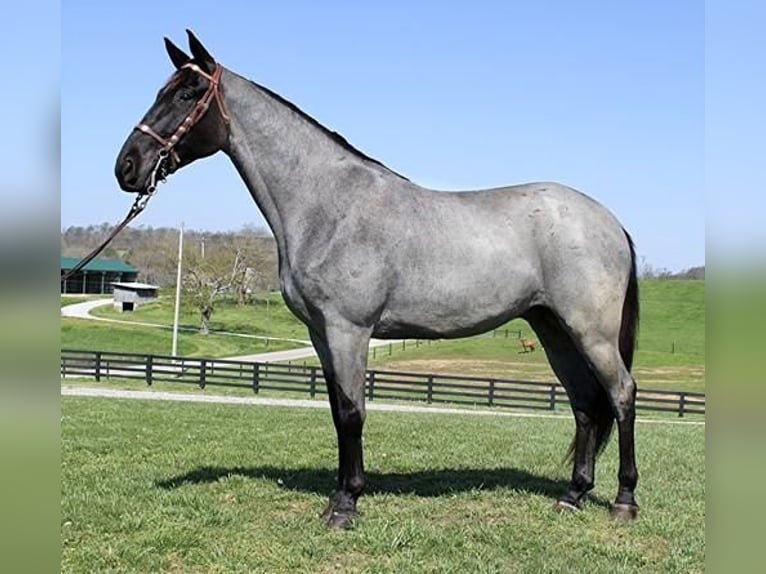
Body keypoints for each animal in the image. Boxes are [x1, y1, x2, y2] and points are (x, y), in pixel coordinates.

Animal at [114, 30, 640, 528]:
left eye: (188, 94)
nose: (128, 166)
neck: (328, 205)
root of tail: (611, 222)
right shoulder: (321, 334)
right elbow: (336, 412)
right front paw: (340, 495)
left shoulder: (349, 330)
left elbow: (352, 412)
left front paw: (345, 505)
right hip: (553, 329)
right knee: (584, 404)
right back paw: (572, 495)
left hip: (590, 332)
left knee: (621, 394)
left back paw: (624, 501)